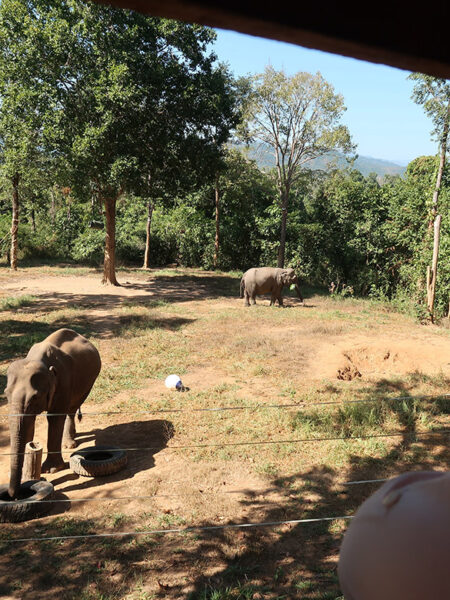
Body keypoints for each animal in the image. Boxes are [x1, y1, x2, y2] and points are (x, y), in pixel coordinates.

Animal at [5, 328, 100, 496]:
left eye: (35, 397)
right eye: (5, 394)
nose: (14, 495)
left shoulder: (63, 382)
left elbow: (55, 418)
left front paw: (52, 469)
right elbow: (28, 424)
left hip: (88, 383)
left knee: (72, 408)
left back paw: (69, 444)